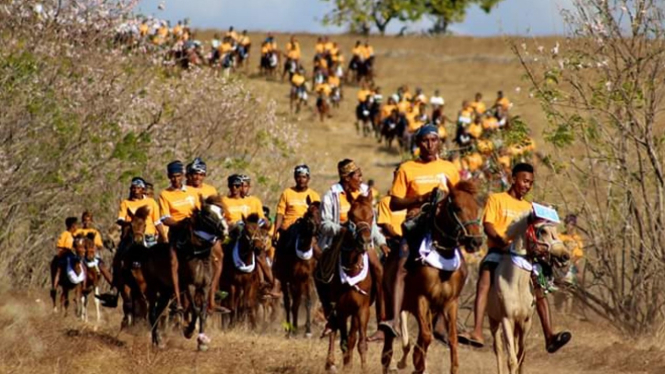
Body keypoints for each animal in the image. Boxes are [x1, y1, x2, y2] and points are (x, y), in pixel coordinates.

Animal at [272, 199, 320, 338]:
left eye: (320, 213)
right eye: (309, 213)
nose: (317, 229)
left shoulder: (306, 278)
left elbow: (307, 301)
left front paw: (308, 330)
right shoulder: (293, 279)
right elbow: (293, 304)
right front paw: (292, 329)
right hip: (285, 280)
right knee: (289, 303)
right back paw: (289, 329)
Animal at [382, 180, 480, 372]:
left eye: (477, 207)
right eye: (457, 208)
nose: (476, 241)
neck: (442, 269)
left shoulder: (450, 303)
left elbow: (452, 339)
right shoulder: (421, 299)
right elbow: (426, 337)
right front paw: (417, 363)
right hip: (391, 304)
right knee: (388, 347)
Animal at [486, 213, 568, 374]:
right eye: (542, 231)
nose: (565, 256)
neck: (516, 284)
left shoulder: (525, 322)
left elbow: (521, 357)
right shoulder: (507, 320)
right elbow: (512, 360)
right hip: (494, 321)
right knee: (498, 350)